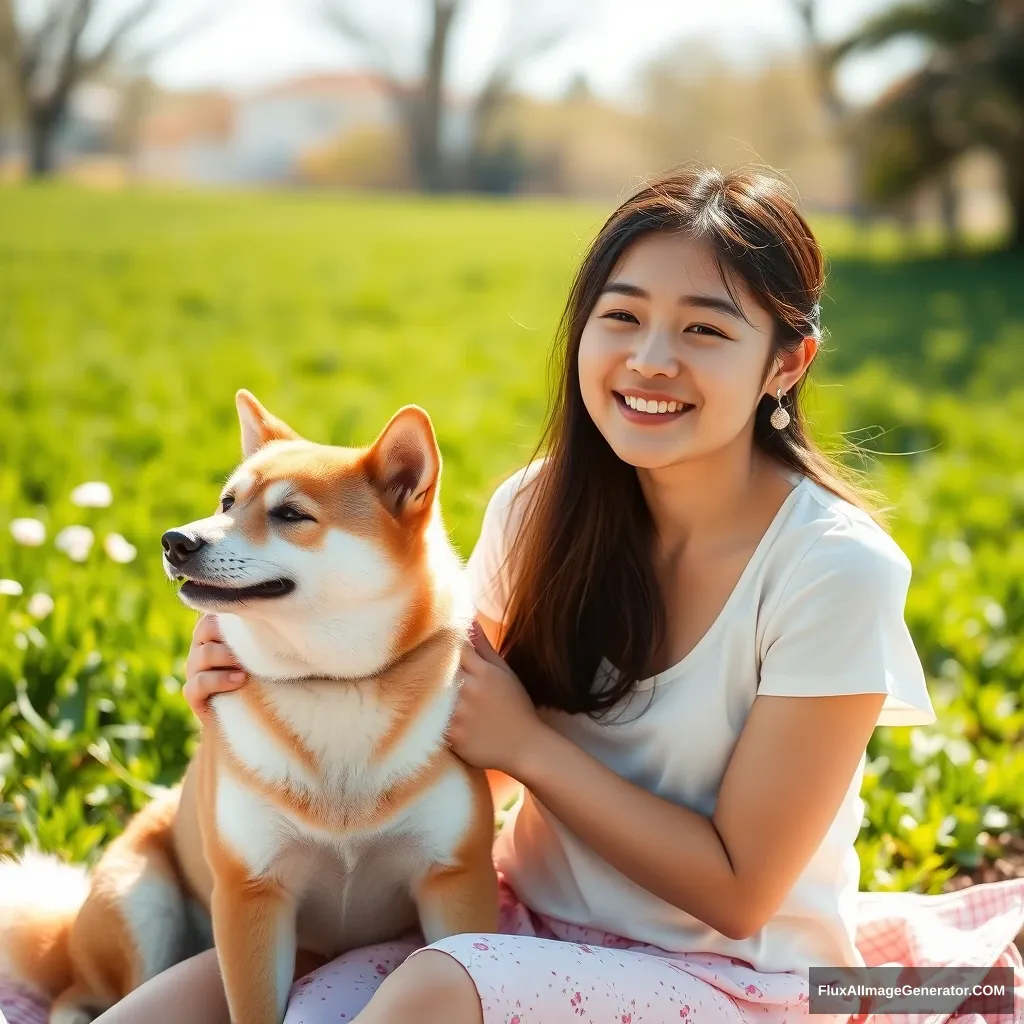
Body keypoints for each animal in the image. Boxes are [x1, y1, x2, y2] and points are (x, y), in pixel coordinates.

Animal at [0, 391, 499, 1024]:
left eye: (290, 515)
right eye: (226, 502)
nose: (176, 540)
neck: (332, 683)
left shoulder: (455, 880)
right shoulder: (251, 893)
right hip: (142, 908)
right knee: (82, 991)